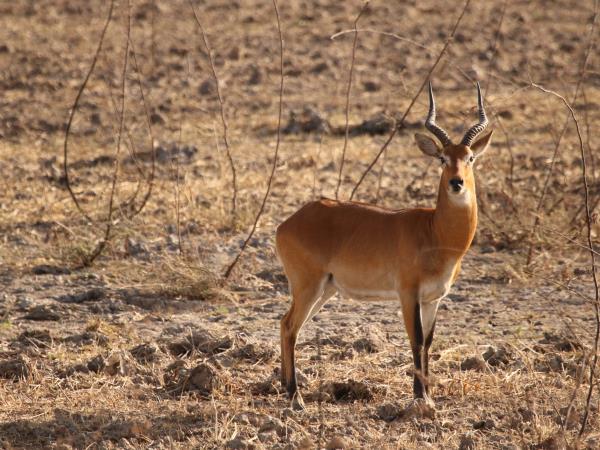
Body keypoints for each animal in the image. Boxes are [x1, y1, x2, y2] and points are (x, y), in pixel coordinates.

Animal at [276, 82, 492, 410]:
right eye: (442, 158)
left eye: (470, 158)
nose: (456, 183)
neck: (435, 233)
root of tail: (287, 223)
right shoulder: (407, 294)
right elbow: (415, 339)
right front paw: (419, 398)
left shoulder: (433, 299)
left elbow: (428, 342)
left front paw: (429, 397)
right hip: (308, 287)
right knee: (289, 326)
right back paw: (295, 397)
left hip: (324, 290)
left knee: (288, 327)